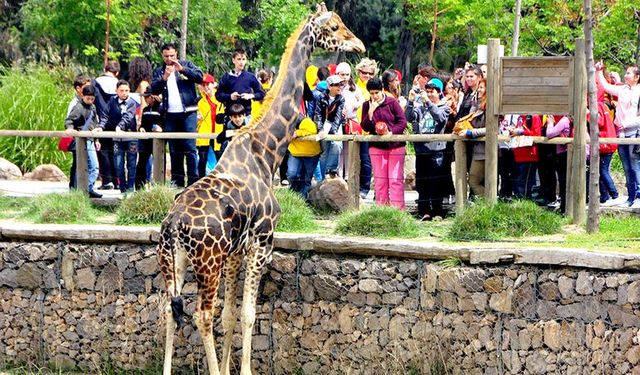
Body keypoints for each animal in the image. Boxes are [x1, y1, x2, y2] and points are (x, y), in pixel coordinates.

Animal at [156, 3, 364, 375]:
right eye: (334, 27)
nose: (359, 45)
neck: (267, 151)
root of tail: (175, 225)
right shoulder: (262, 242)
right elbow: (249, 314)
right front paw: (239, 370)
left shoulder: (235, 251)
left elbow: (231, 314)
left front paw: (227, 368)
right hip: (206, 261)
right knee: (201, 314)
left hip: (173, 258)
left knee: (170, 309)